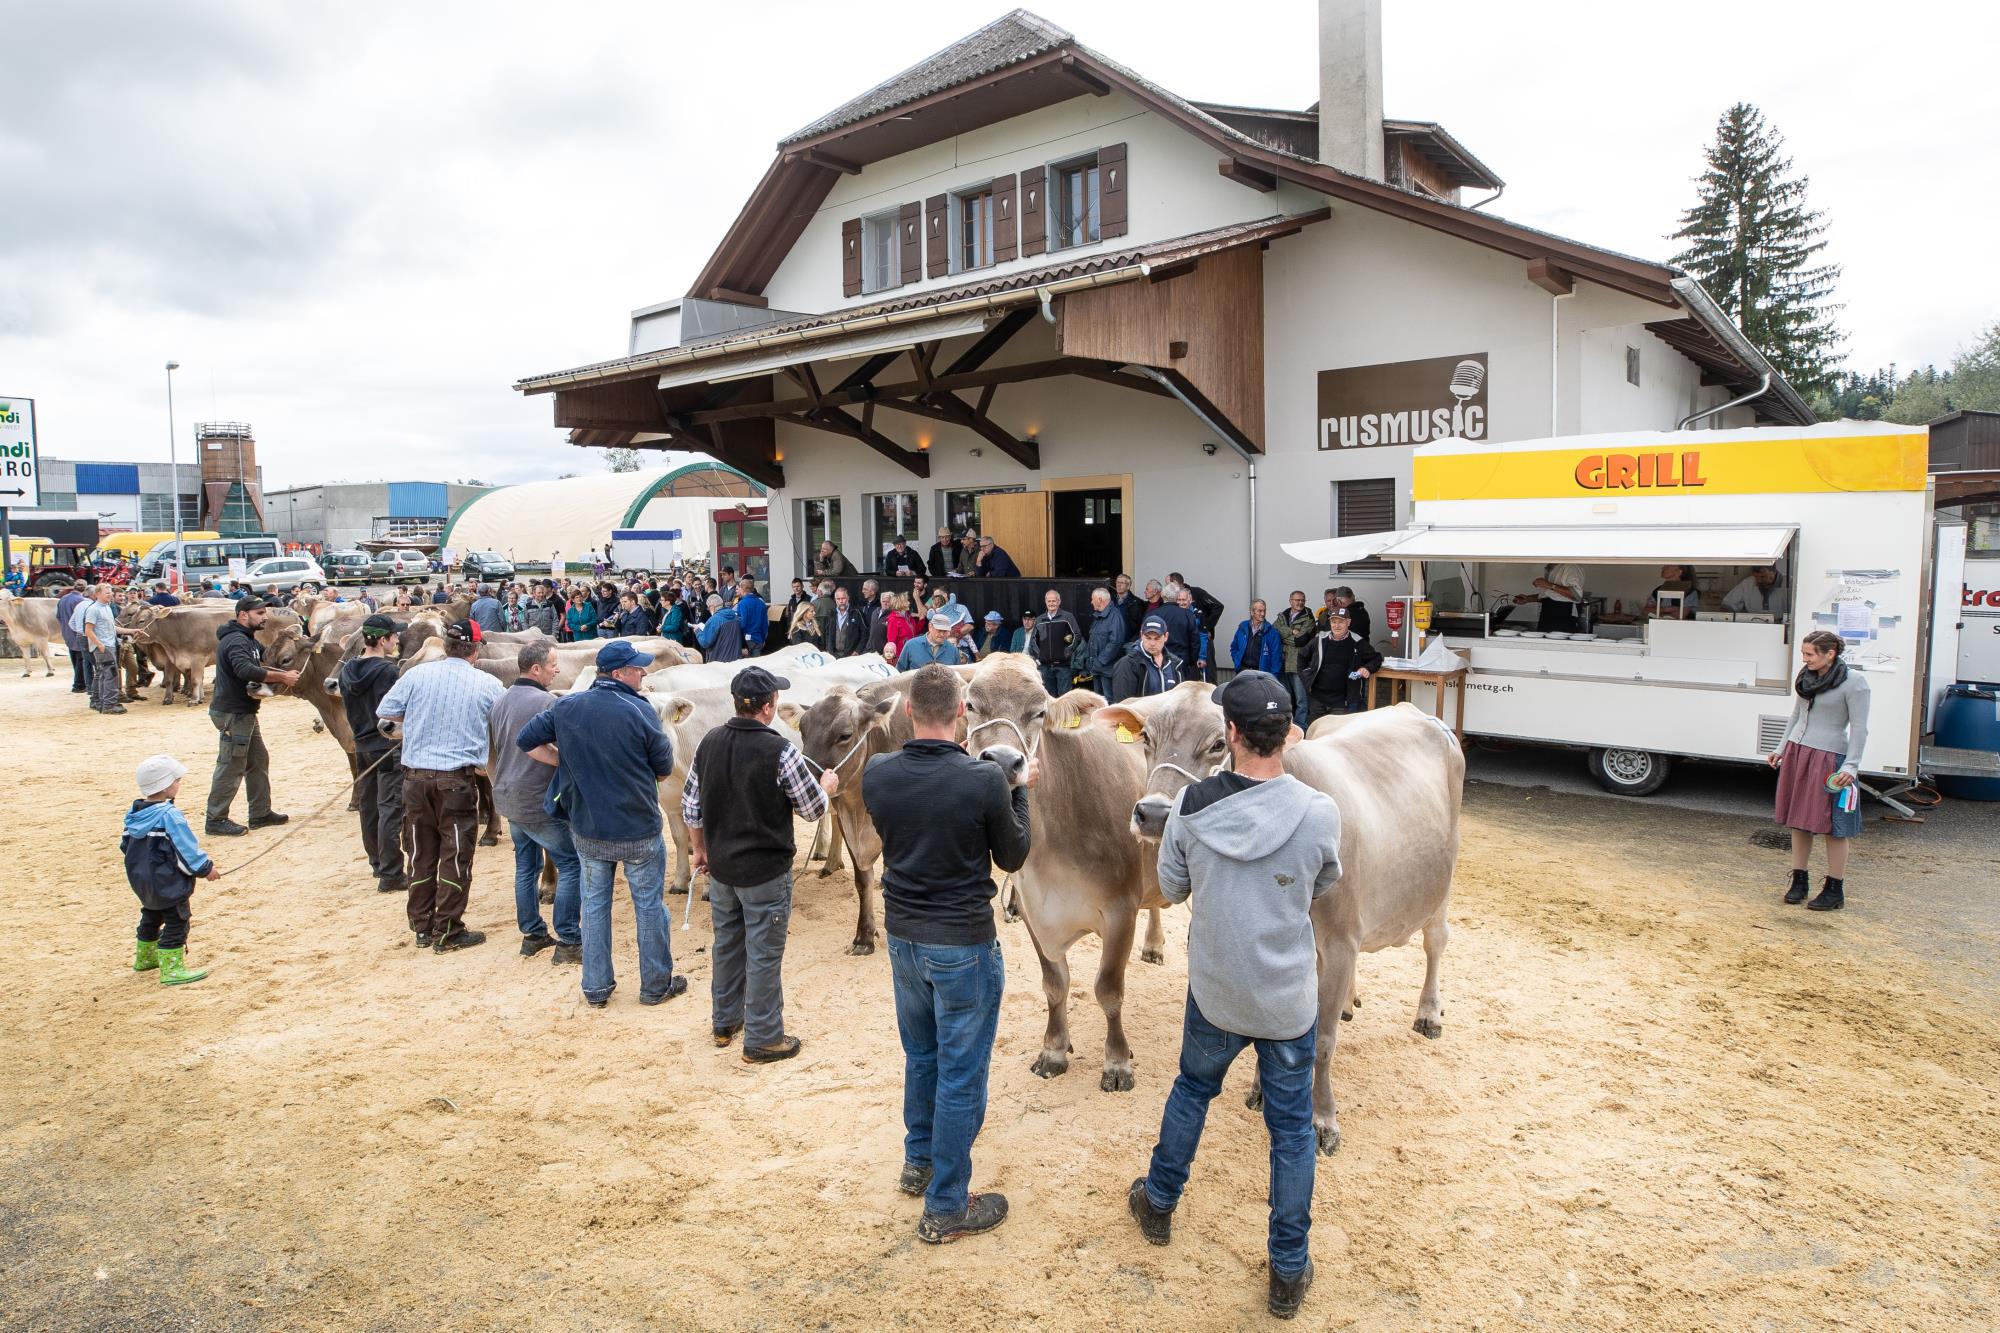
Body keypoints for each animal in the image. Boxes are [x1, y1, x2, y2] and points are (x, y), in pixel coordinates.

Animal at [1101, 687, 1463, 1154]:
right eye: (1146, 737)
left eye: (1218, 744)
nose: (1153, 814)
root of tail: (1416, 712)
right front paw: (1260, 1089)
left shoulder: (1339, 942)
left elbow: (1322, 1041)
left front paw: (1323, 1117)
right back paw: (1351, 1001)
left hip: (1441, 884)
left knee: (1436, 941)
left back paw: (1428, 1014)